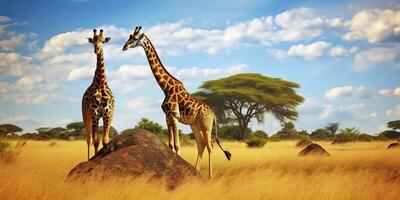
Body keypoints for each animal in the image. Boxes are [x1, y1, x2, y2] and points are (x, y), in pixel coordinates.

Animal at [82, 28, 115, 160]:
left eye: (103, 41)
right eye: (93, 41)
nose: (96, 50)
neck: (101, 84)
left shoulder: (107, 113)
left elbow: (105, 140)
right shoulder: (94, 113)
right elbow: (95, 141)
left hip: (110, 117)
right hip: (86, 117)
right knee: (88, 139)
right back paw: (88, 158)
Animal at [122, 25, 231, 177]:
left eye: (134, 38)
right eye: (129, 36)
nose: (124, 47)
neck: (166, 88)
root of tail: (214, 114)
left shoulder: (174, 115)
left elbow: (178, 146)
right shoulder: (167, 117)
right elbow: (171, 145)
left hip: (206, 125)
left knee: (210, 146)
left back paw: (210, 176)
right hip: (195, 125)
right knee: (201, 144)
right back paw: (196, 171)